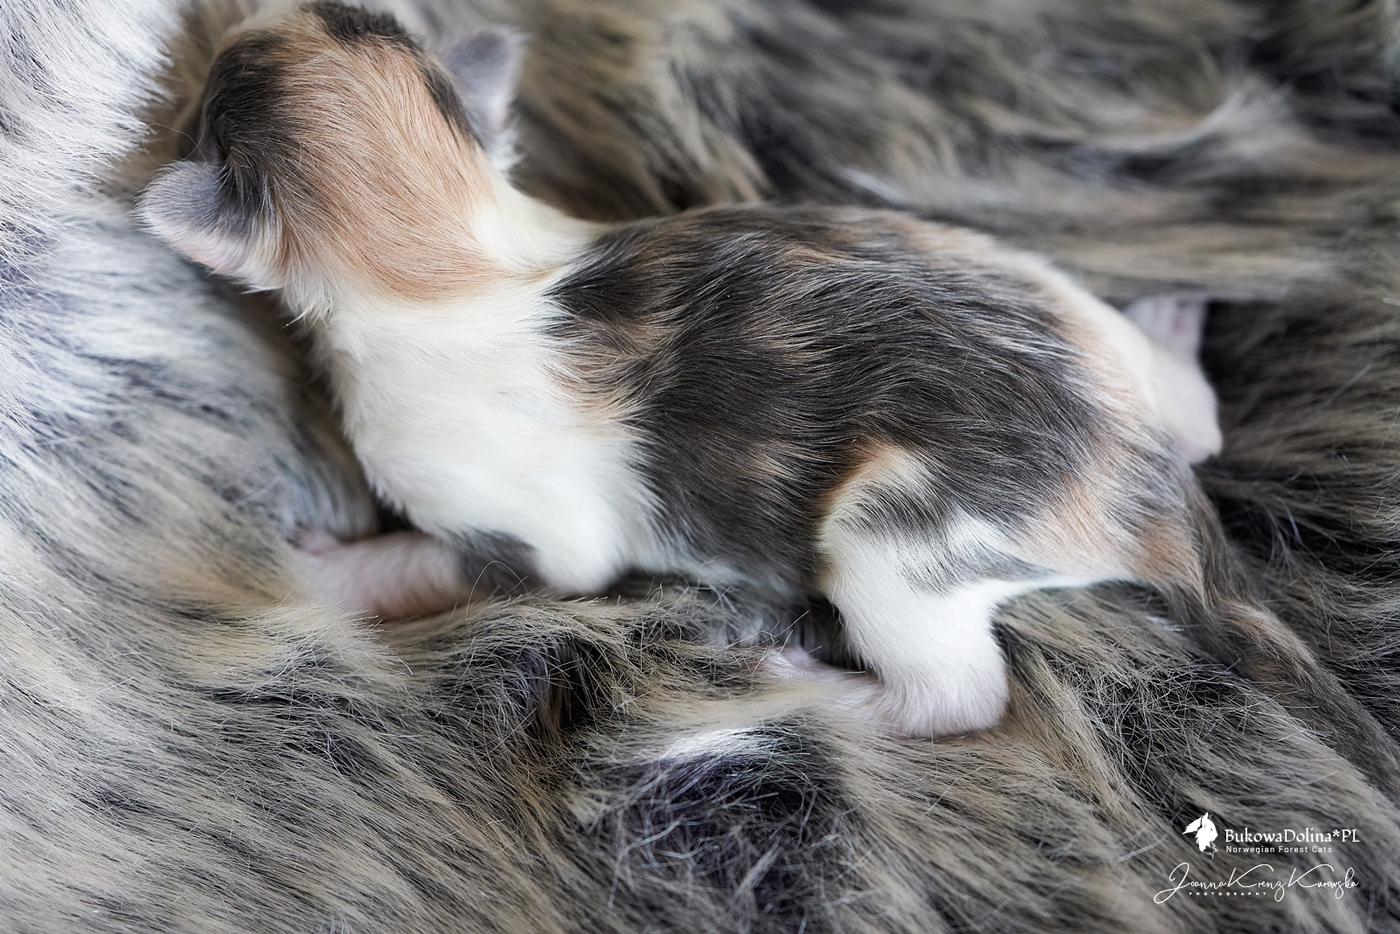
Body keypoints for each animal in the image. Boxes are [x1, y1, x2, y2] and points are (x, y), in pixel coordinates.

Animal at [139, 0, 1222, 738]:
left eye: (209, 96)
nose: (232, 23)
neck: (457, 249)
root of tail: (1143, 484)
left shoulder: (527, 533)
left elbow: (437, 561)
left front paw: (323, 565)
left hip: (900, 543)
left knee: (954, 697)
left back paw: (808, 684)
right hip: (1041, 287)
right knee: (1190, 406)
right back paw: (1175, 338)